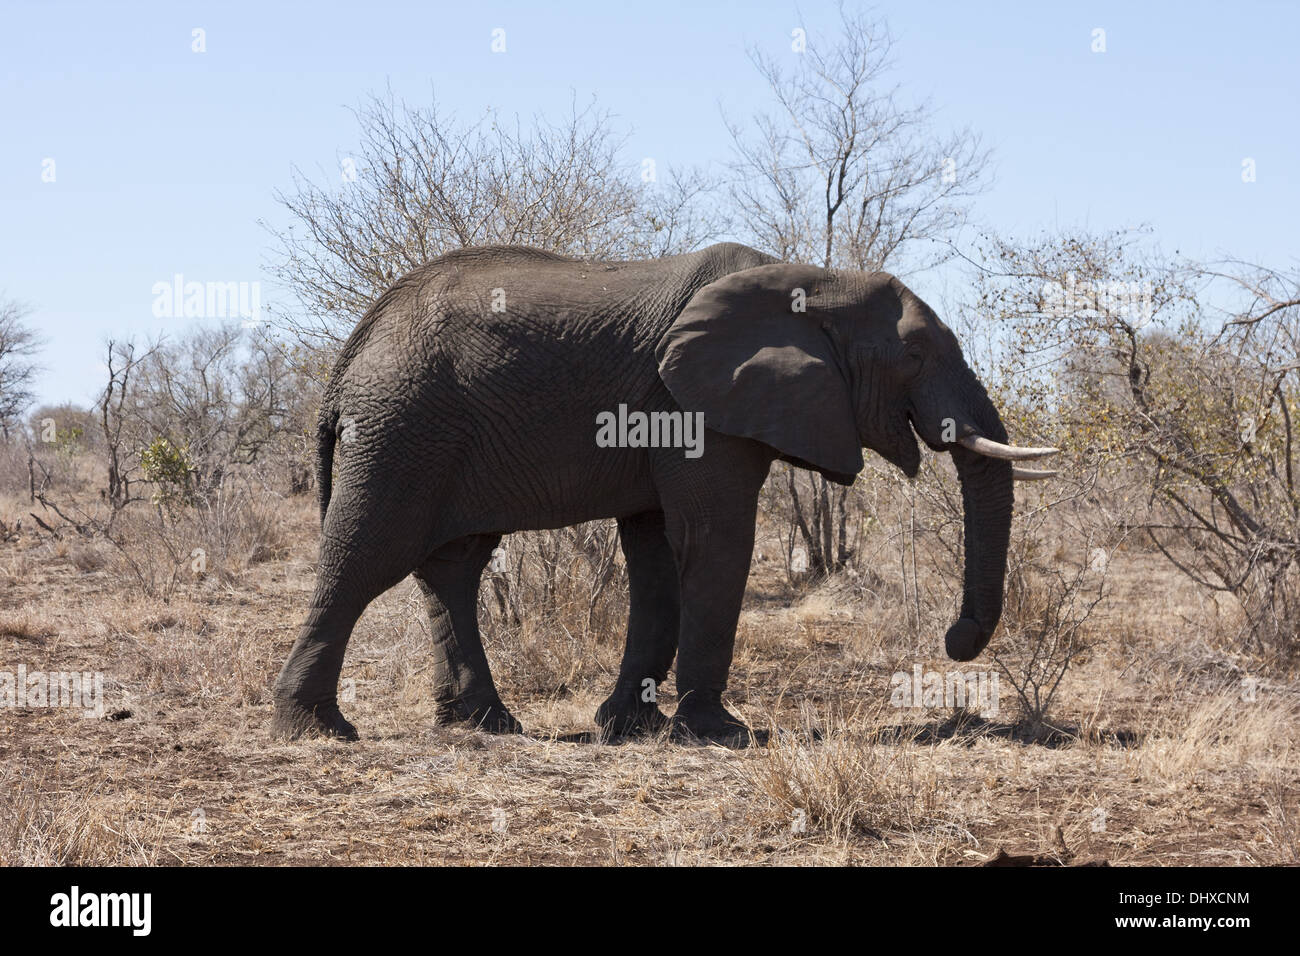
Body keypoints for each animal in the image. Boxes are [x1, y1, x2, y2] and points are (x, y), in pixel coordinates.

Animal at [271, 243, 1055, 743]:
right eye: (914, 355)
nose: (956, 641)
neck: (818, 279)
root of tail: (352, 350)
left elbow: (656, 555)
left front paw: (629, 725)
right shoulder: (693, 405)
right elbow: (714, 537)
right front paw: (718, 733)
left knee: (452, 567)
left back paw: (486, 724)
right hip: (404, 425)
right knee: (367, 555)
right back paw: (317, 730)